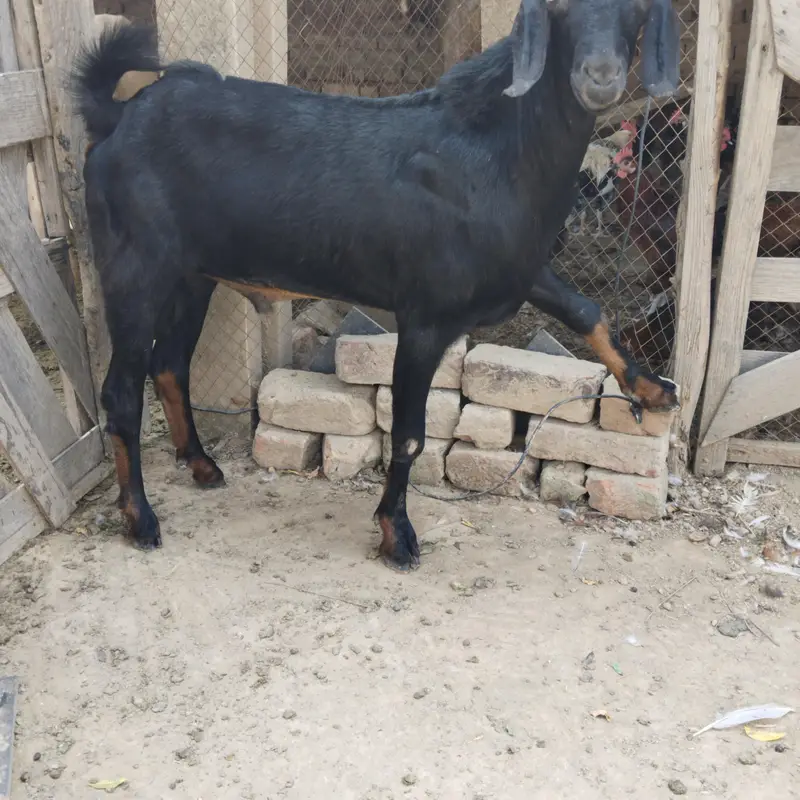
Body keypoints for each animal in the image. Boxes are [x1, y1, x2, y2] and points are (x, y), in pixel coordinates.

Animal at [73, 0, 681, 571]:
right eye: (557, 9)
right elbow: (409, 433)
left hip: (191, 276)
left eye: (639, 7)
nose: (599, 77)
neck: (495, 151)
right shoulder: (425, 316)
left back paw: (200, 464)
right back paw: (140, 518)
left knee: (168, 365)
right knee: (121, 392)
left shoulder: (518, 271)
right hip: (136, 266)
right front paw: (397, 534)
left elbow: (587, 310)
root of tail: (118, 118)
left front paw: (651, 389)